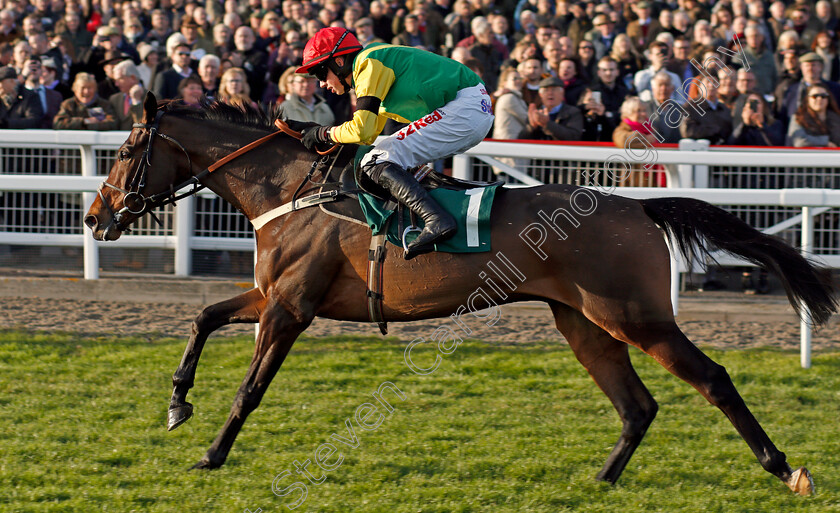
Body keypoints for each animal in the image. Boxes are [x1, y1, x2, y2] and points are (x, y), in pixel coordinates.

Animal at [82, 94, 832, 494]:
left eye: (124, 151)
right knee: (637, 405)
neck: (290, 190)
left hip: (637, 316)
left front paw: (211, 453)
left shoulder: (291, 309)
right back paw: (601, 480)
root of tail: (638, 206)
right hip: (585, 322)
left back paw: (784, 467)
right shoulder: (273, 295)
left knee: (712, 378)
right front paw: (177, 403)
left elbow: (249, 389)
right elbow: (203, 316)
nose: (94, 217)